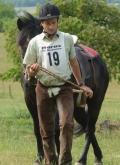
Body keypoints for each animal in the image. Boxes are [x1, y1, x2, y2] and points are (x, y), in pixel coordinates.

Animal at [16, 10, 109, 164]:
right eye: (22, 44)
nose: (30, 77)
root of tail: (99, 60)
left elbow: (57, 129)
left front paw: (59, 155)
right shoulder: (31, 102)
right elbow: (38, 129)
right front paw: (40, 157)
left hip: (96, 101)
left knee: (90, 128)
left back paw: (82, 159)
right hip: (77, 108)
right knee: (87, 126)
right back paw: (98, 156)